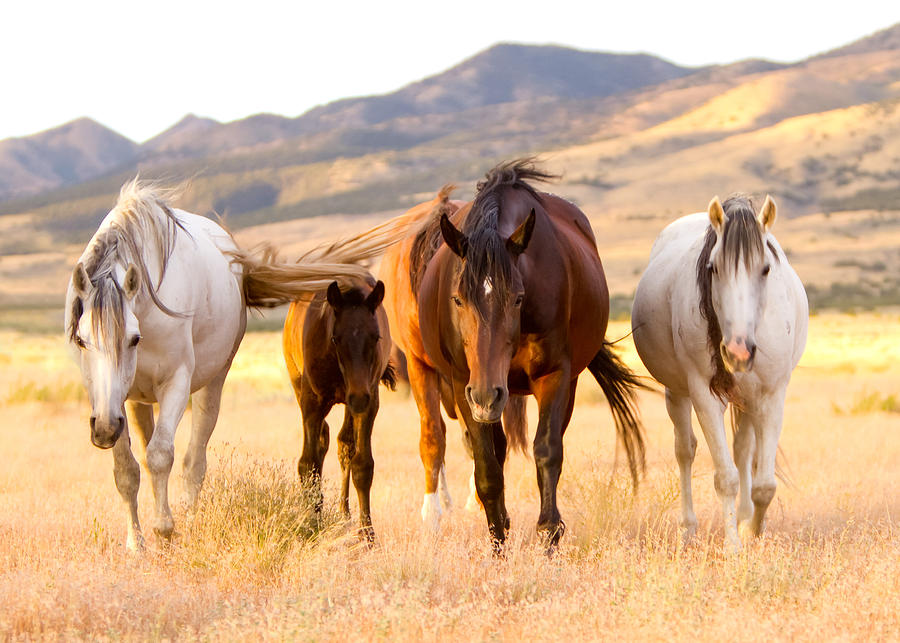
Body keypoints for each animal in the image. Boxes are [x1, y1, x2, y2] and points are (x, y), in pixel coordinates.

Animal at [282, 280, 394, 540]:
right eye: (336, 338)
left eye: (376, 337)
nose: (359, 397)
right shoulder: (312, 403)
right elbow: (308, 464)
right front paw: (312, 524)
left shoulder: (369, 401)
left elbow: (362, 465)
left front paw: (368, 535)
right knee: (323, 441)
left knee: (344, 444)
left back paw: (344, 514)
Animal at [384, 160, 644, 548]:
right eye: (457, 298)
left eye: (518, 298)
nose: (485, 395)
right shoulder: (463, 383)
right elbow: (484, 462)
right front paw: (497, 537)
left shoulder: (553, 375)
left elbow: (547, 450)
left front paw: (549, 532)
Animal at [632, 195, 808, 548]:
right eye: (713, 268)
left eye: (766, 268)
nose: (738, 351)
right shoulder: (705, 395)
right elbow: (726, 477)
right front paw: (733, 547)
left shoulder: (772, 396)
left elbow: (764, 483)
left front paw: (752, 530)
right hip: (678, 394)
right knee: (685, 451)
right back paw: (688, 529)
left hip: (748, 400)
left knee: (742, 451)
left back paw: (743, 516)